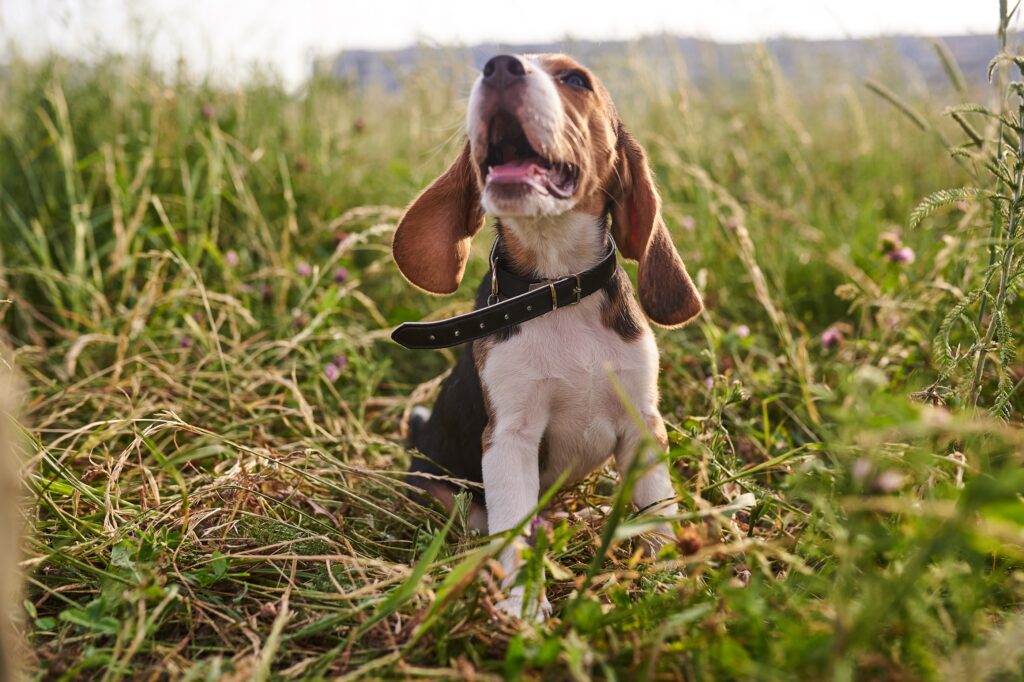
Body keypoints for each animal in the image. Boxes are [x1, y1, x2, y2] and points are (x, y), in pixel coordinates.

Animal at [391, 53, 704, 614]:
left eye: (576, 79)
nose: (498, 67)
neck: (557, 287)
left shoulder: (642, 423)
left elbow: (658, 509)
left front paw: (668, 582)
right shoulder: (509, 437)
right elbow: (512, 527)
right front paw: (524, 608)